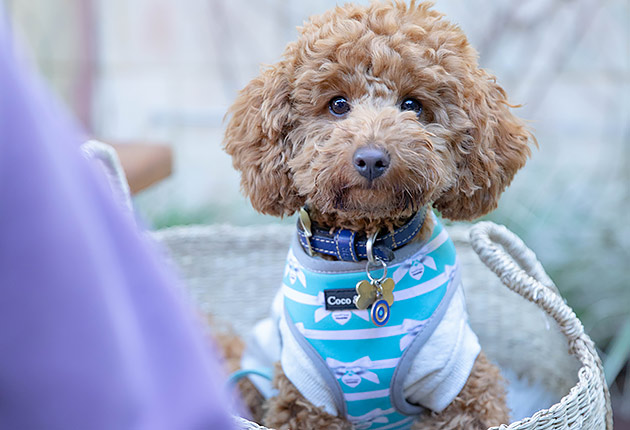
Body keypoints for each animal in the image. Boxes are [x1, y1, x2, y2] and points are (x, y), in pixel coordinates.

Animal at [222, 1, 532, 428]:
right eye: (338, 104)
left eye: (413, 105)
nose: (371, 159)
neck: (367, 246)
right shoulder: (303, 400)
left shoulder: (460, 380)